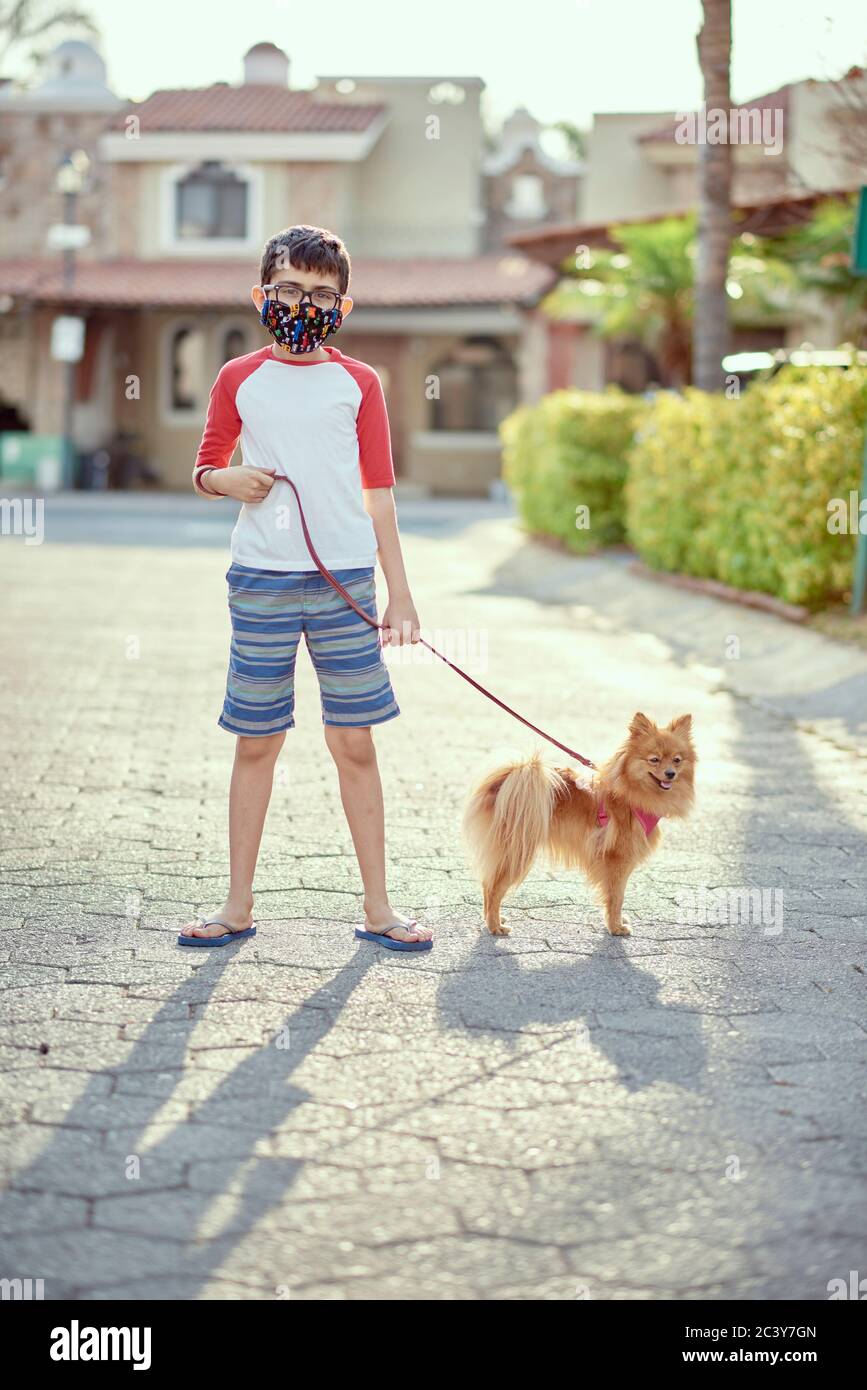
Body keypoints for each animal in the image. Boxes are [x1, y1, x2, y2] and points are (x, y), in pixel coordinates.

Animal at [464, 717, 694, 934]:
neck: (629, 792)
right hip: (517, 849)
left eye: (677, 760)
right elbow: (617, 897)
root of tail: (505, 780)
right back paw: (495, 926)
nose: (671, 773)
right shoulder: (618, 860)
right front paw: (616, 927)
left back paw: (492, 920)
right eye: (654, 760)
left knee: (487, 883)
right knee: (494, 888)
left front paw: (616, 923)